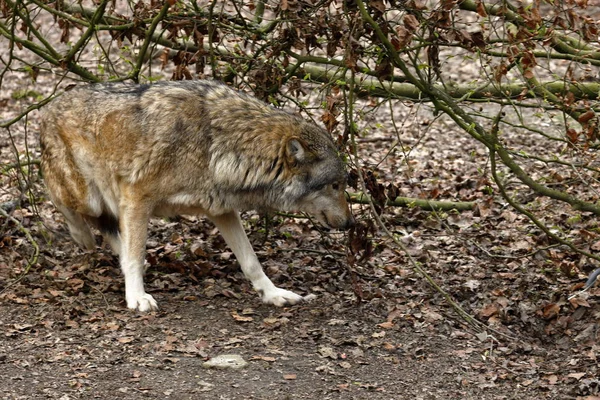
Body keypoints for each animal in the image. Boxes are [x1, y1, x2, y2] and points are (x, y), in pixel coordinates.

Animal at [39, 79, 354, 312]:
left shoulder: (221, 210)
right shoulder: (136, 197)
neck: (217, 144)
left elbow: (251, 261)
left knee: (113, 232)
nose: (351, 223)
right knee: (73, 211)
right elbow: (134, 255)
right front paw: (137, 297)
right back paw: (84, 238)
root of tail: (50, 105)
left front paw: (274, 293)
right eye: (335, 185)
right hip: (87, 196)